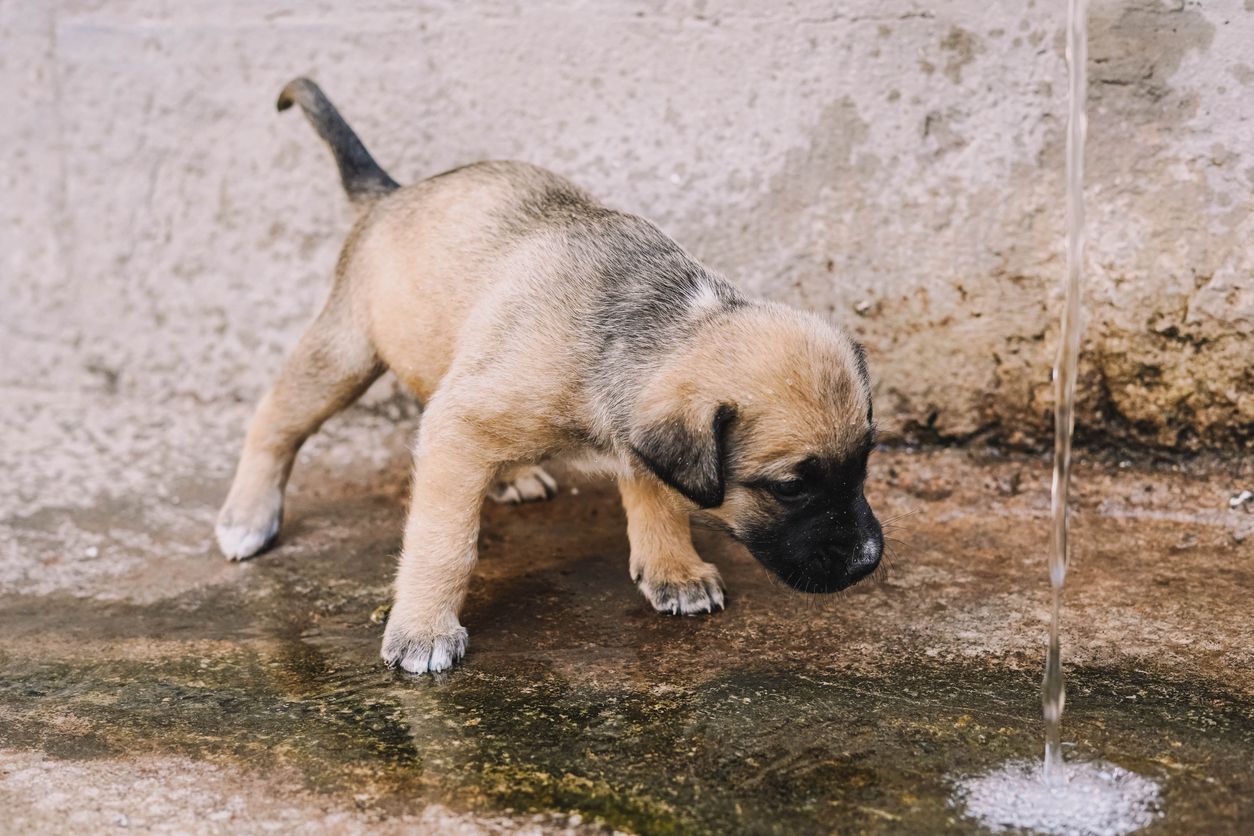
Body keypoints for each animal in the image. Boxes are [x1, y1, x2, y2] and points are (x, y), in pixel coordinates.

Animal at [218, 81, 882, 676]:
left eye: (865, 461)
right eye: (790, 487)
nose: (870, 560)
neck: (645, 324)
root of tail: (388, 195)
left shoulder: (630, 432)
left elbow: (656, 490)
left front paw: (672, 567)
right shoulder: (462, 426)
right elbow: (444, 541)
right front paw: (423, 630)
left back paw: (511, 475)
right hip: (345, 355)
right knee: (275, 419)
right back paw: (247, 515)